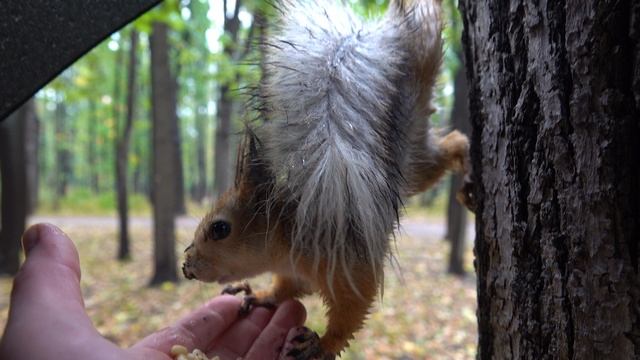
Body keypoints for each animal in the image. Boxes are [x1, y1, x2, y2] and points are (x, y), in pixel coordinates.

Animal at [181, 1, 470, 358]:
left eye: (220, 229)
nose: (187, 266)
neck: (286, 241)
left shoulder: (346, 264)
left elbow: (354, 307)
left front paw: (323, 343)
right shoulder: (295, 273)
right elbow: (286, 290)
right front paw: (261, 296)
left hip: (415, 158)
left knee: (453, 143)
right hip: (415, 168)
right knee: (441, 152)